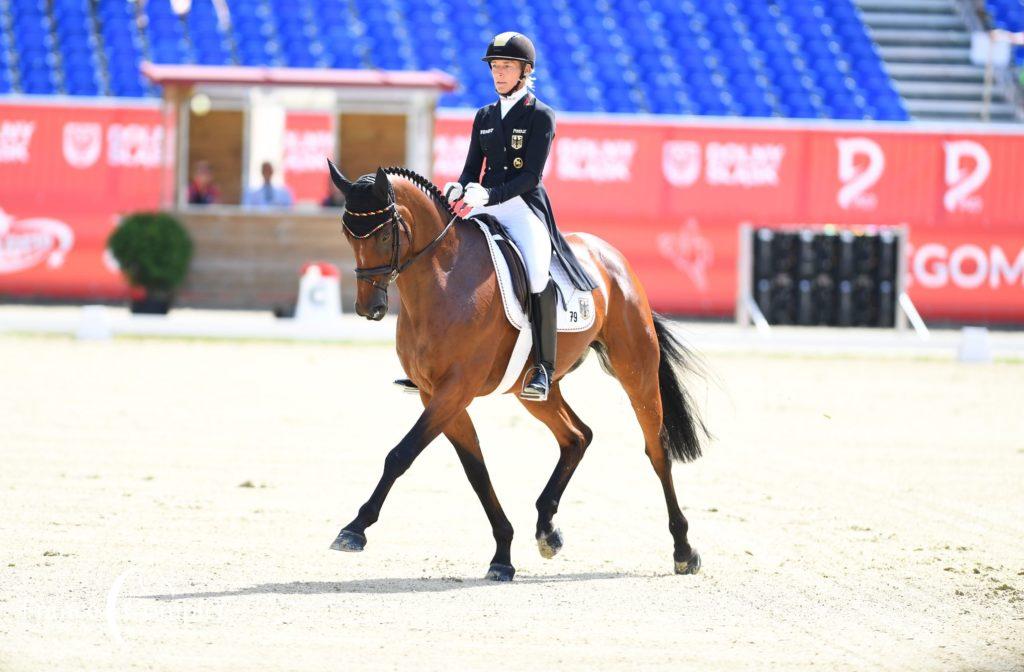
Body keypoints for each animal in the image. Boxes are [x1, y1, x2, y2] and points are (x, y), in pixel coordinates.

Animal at [325, 159, 704, 581]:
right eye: (347, 233)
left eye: (383, 232)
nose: (368, 308)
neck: (443, 280)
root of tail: (611, 257)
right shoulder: (435, 394)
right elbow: (476, 471)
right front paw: (503, 554)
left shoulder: (454, 390)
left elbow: (401, 454)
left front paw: (354, 528)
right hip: (535, 391)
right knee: (577, 436)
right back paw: (547, 530)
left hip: (636, 369)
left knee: (657, 449)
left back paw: (684, 550)